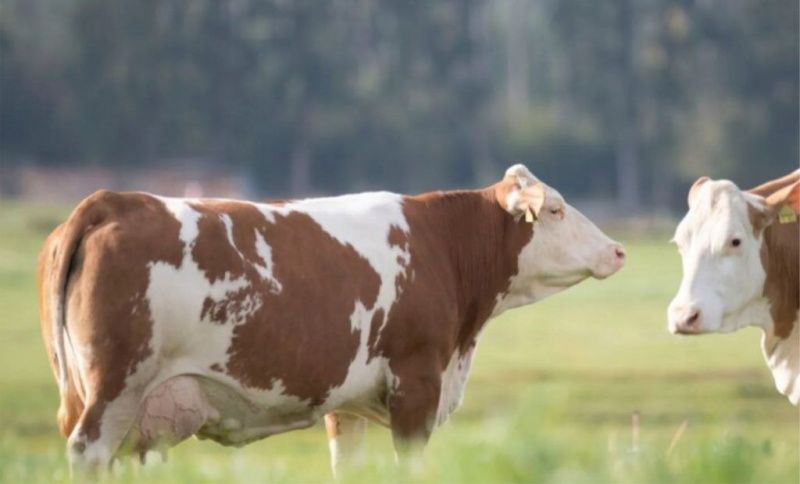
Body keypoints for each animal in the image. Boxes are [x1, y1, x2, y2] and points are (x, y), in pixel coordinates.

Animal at [38, 164, 626, 475]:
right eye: (555, 210)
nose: (617, 250)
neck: (441, 246)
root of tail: (114, 200)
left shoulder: (350, 406)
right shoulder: (416, 388)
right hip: (114, 391)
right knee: (89, 452)